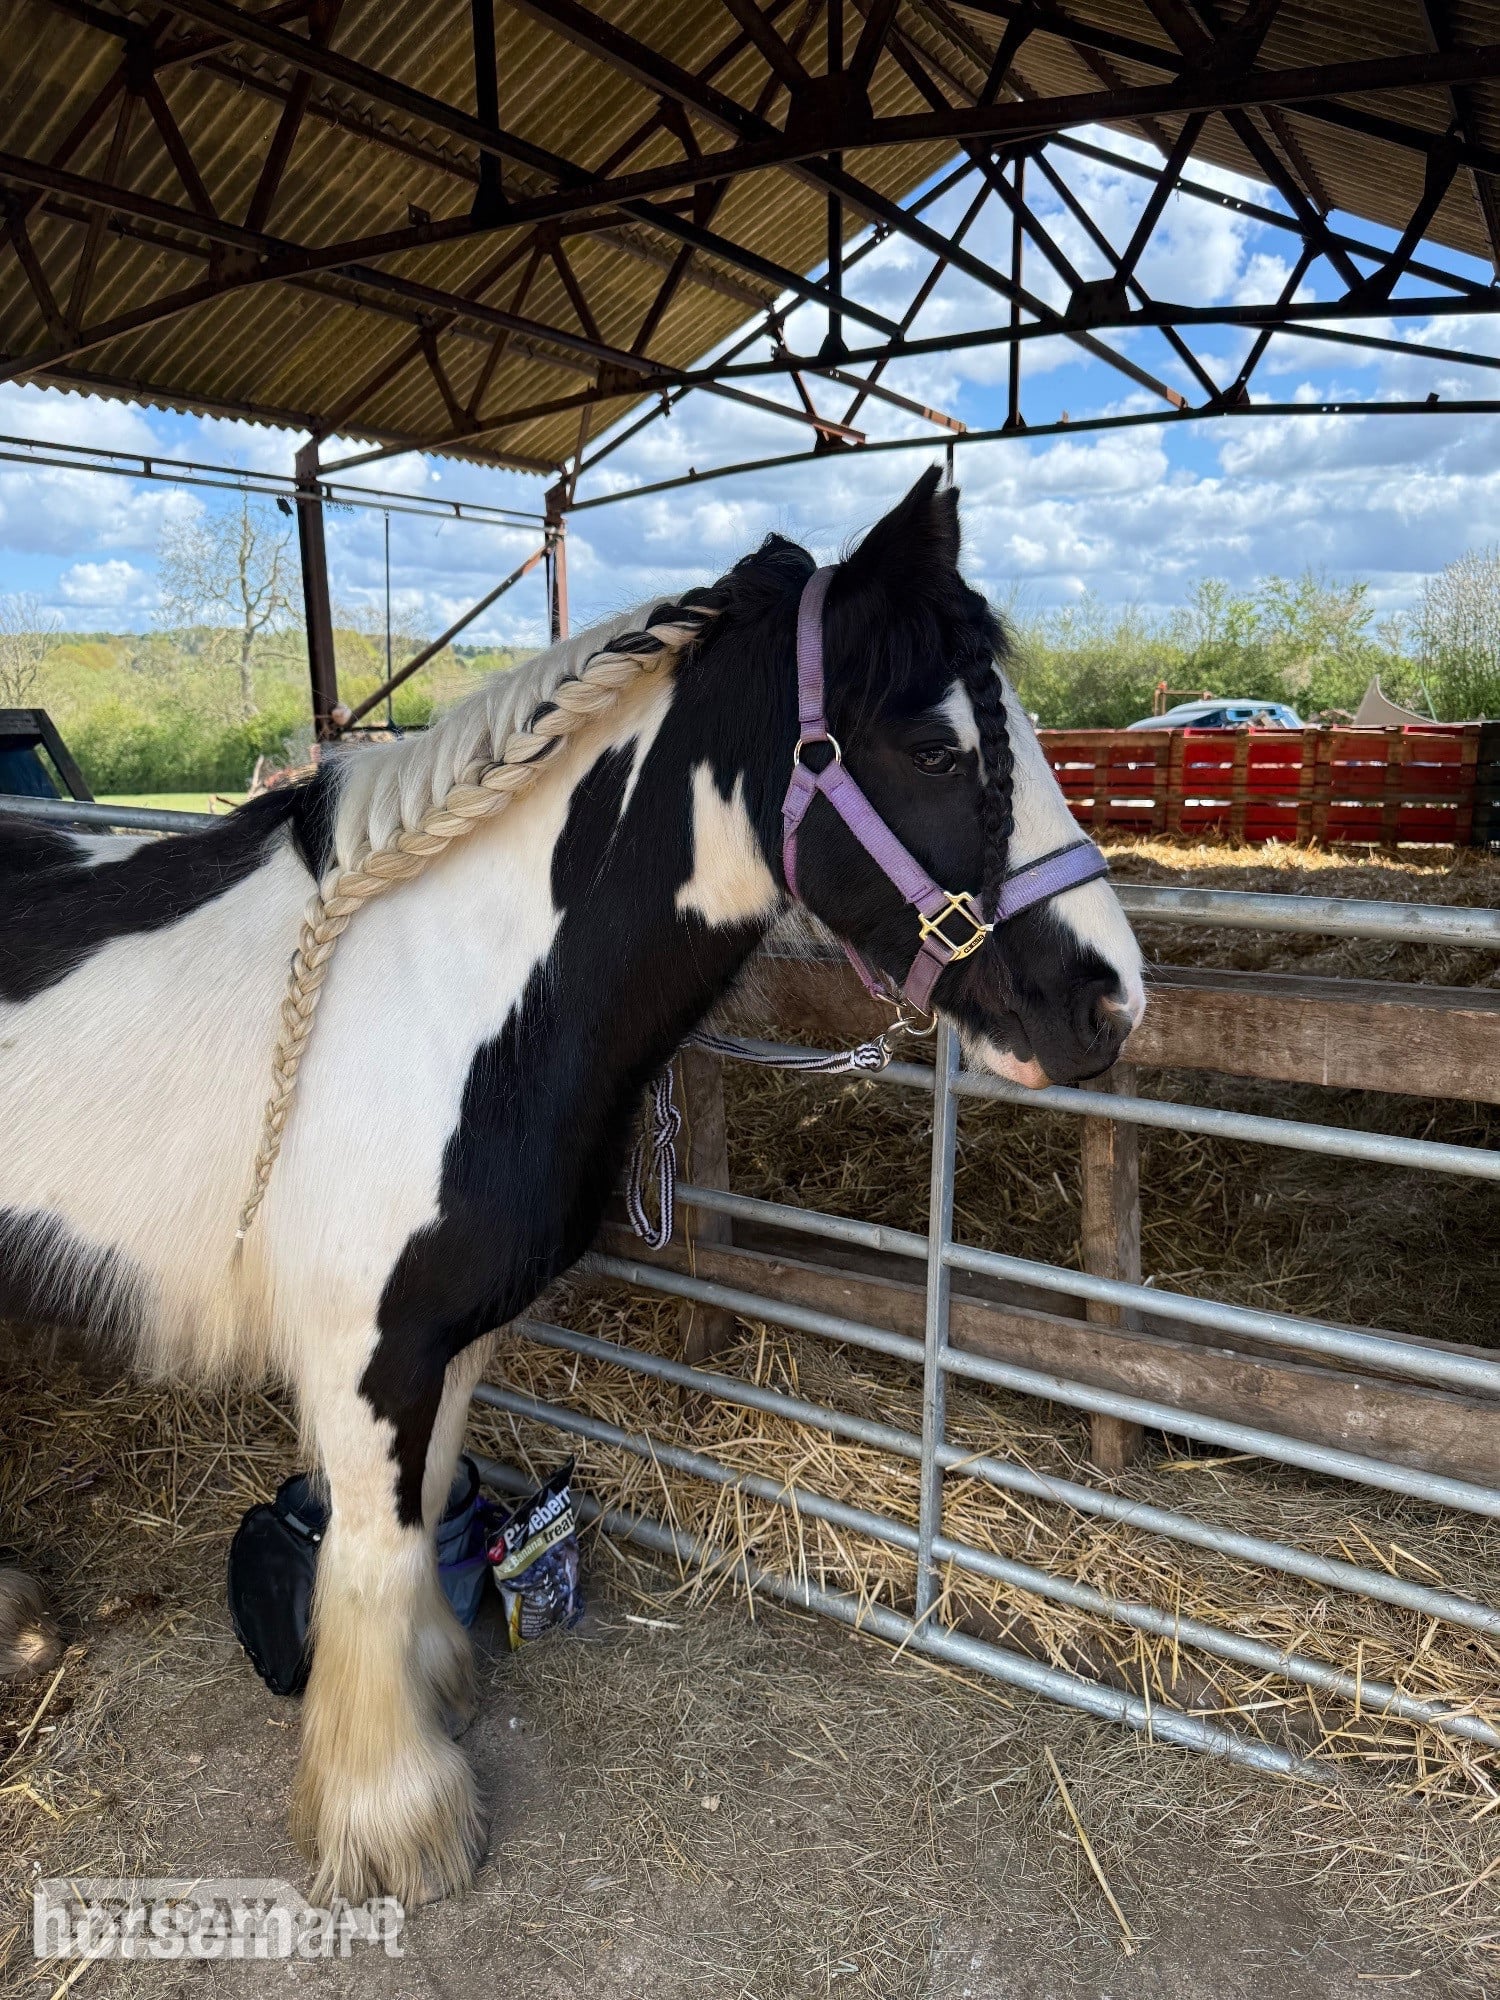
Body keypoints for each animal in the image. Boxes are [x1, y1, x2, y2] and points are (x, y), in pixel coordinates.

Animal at [0, 470, 1144, 1904]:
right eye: (934, 751)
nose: (1112, 1000)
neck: (433, 992)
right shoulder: (366, 1352)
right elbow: (369, 1559)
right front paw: (394, 1821)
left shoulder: (448, 1340)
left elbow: (425, 1523)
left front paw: (436, 1688)